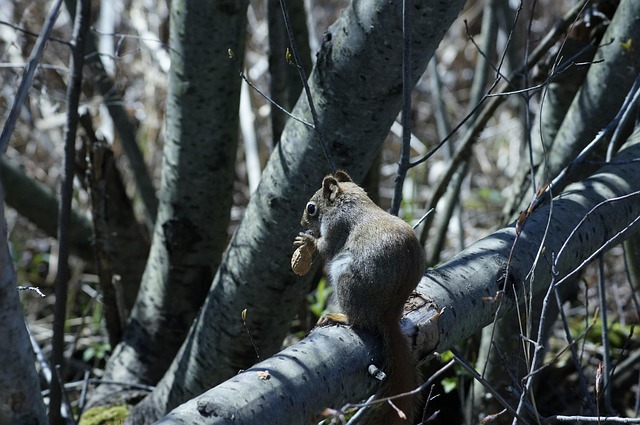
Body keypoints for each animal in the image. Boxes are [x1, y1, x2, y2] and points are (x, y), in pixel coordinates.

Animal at [292, 171, 425, 424]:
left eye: (311, 208)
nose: (303, 223)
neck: (352, 201)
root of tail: (389, 314)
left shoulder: (337, 225)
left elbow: (326, 247)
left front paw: (308, 242)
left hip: (346, 279)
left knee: (359, 322)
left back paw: (338, 317)